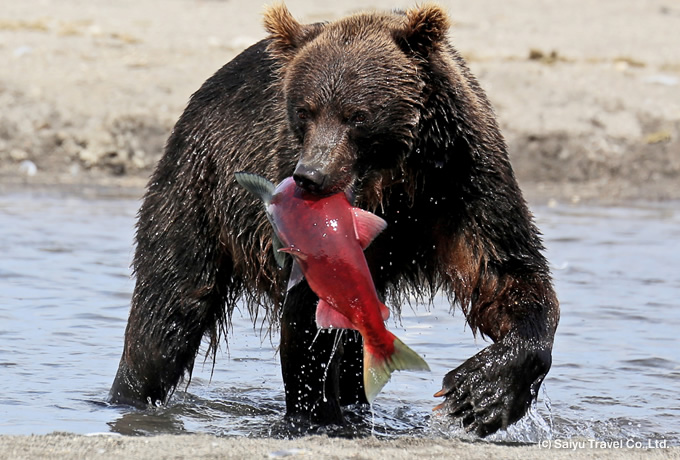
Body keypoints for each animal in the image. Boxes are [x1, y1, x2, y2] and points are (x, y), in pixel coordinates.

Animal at [110, 1, 556, 436]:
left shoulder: (461, 184)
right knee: (169, 307)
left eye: (357, 115)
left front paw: (480, 395)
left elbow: (503, 275)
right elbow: (308, 323)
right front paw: (317, 419)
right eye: (304, 111)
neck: (395, 184)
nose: (311, 176)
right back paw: (129, 396)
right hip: (199, 185)